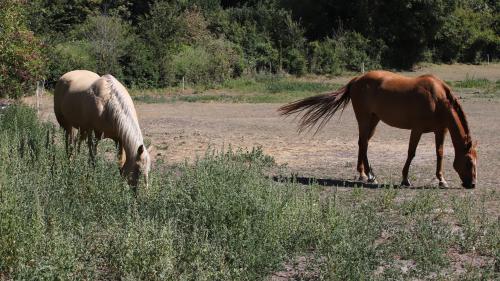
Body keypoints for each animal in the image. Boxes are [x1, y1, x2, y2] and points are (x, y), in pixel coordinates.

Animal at [280, 70, 478, 188]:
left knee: (363, 143)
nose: (472, 184)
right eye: (469, 162)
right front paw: (405, 179)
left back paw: (364, 174)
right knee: (363, 143)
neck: (437, 99)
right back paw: (369, 175)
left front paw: (442, 180)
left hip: (374, 120)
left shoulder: (440, 130)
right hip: (364, 119)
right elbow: (411, 153)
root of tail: (356, 80)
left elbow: (440, 153)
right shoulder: (417, 129)